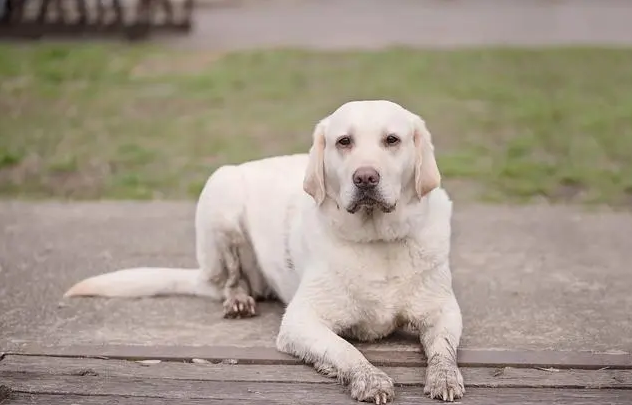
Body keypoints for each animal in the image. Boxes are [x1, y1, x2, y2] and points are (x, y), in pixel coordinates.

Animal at [65, 100, 464, 400]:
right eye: (344, 141)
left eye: (392, 140)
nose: (365, 177)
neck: (376, 241)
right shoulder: (301, 321)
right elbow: (345, 350)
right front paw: (369, 378)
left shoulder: (443, 310)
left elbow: (443, 348)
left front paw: (444, 377)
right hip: (222, 196)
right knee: (230, 278)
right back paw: (238, 300)